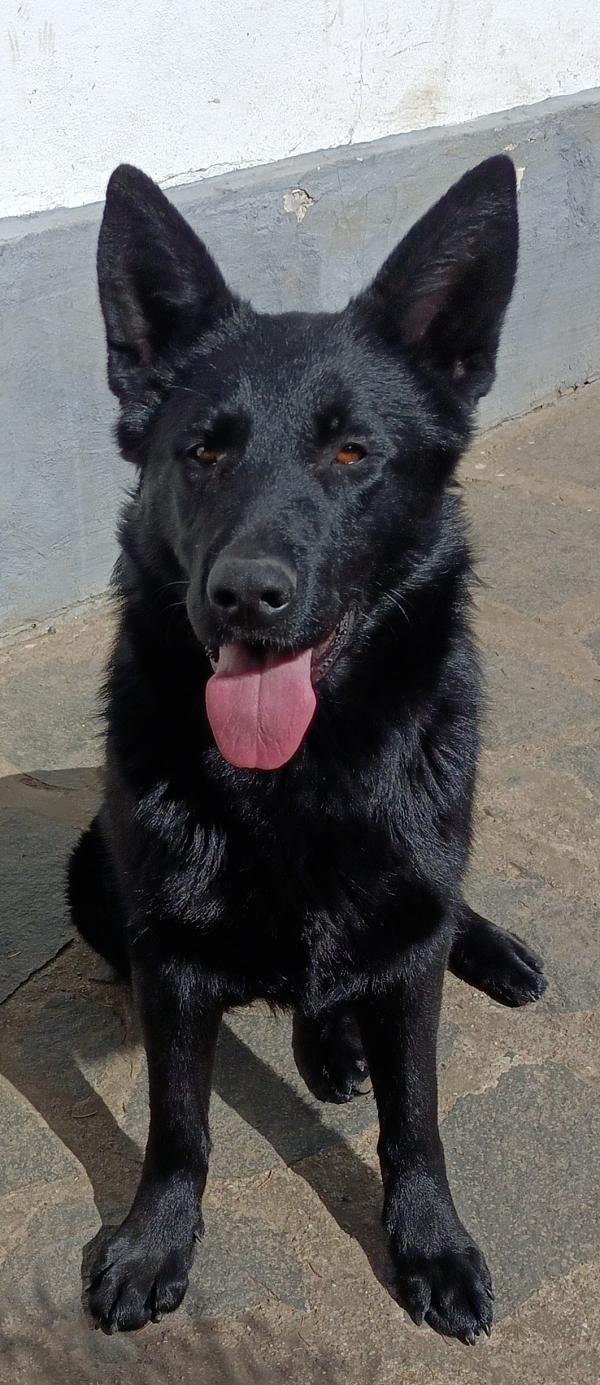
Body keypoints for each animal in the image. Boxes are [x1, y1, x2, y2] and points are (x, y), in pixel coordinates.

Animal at [69, 155, 546, 1340]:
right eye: (202, 450)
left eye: (351, 452)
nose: (247, 594)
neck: (297, 779)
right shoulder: (170, 955)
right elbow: (178, 1120)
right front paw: (155, 1236)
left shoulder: (411, 940)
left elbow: (416, 1115)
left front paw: (430, 1238)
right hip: (96, 876)